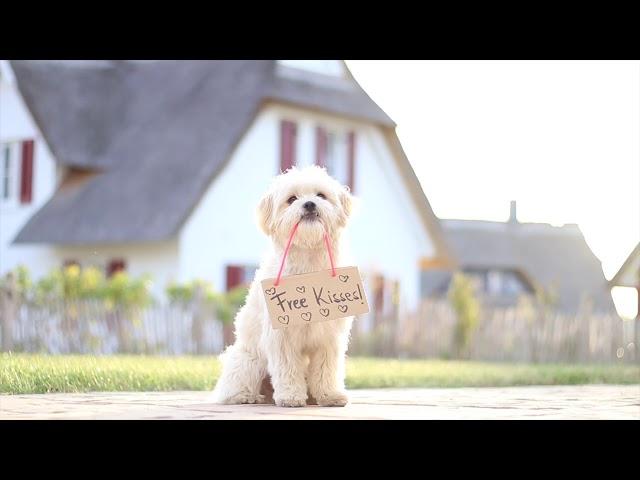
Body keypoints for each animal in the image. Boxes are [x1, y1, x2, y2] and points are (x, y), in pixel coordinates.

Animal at [214, 166, 356, 408]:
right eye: (292, 199)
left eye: (320, 195)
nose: (309, 204)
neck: (308, 258)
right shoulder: (282, 337)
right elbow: (288, 368)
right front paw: (291, 396)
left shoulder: (329, 338)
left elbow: (326, 369)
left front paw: (330, 395)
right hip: (249, 361)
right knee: (232, 389)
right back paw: (249, 397)